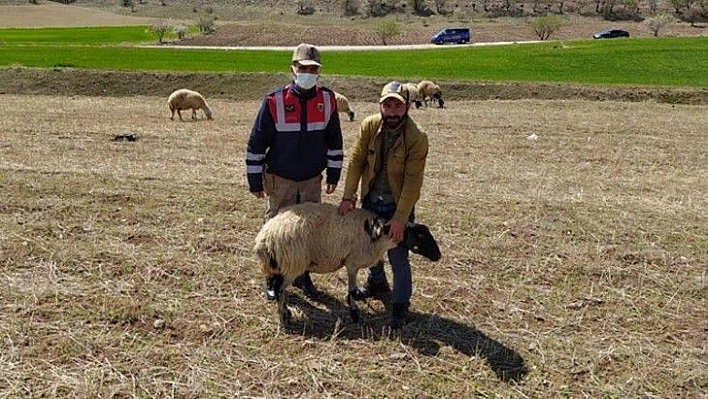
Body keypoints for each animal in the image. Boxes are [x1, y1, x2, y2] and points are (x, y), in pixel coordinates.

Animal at [253, 203, 442, 324]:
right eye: (421, 236)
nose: (439, 256)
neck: (379, 235)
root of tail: (264, 240)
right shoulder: (352, 262)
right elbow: (351, 289)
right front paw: (354, 313)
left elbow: (353, 290)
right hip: (292, 263)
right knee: (279, 290)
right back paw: (284, 316)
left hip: (285, 266)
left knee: (281, 290)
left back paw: (286, 312)